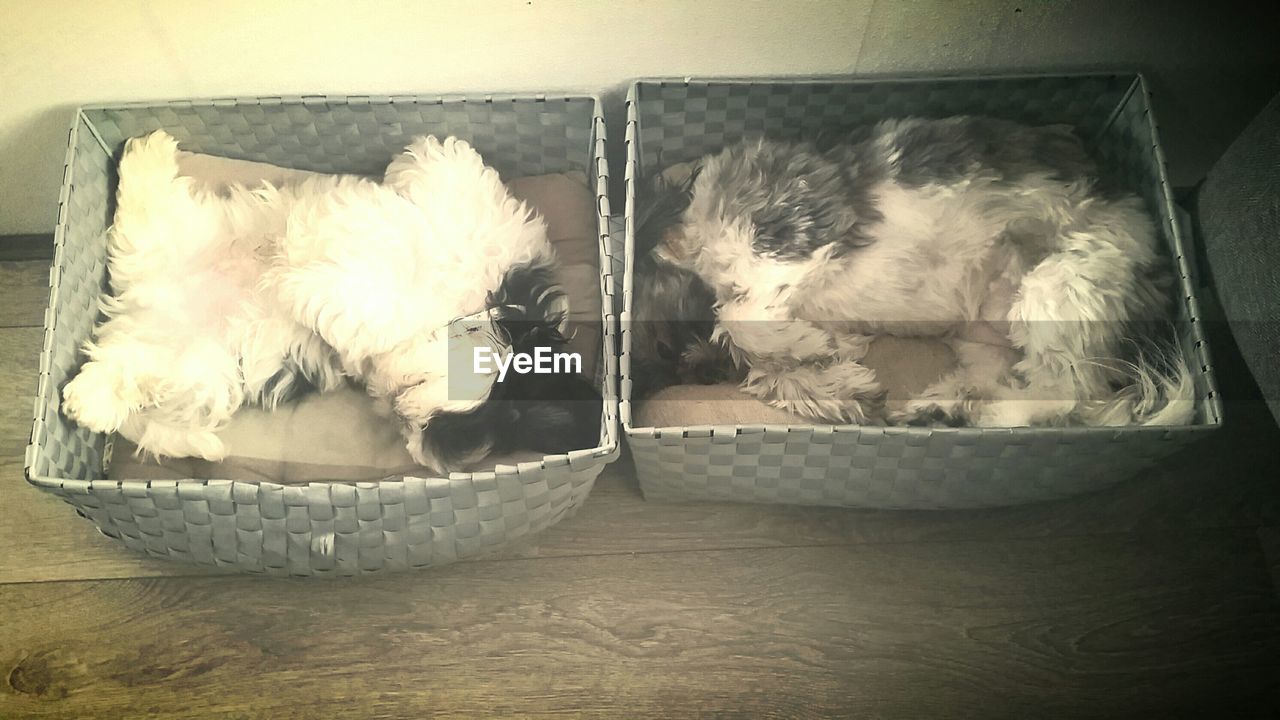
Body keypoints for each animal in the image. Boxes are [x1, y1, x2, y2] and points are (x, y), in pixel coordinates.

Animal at [61, 131, 599, 468]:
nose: (403, 423)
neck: (467, 309)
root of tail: (142, 299)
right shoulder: (484, 229)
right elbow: (444, 162)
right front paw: (406, 163)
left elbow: (364, 304)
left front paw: (298, 281)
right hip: (176, 247)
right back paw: (147, 150)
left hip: (196, 363)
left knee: (132, 375)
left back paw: (89, 401)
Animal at [634, 114, 1192, 422]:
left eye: (663, 344)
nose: (706, 374)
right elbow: (779, 368)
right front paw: (837, 378)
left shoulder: (789, 215)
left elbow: (740, 316)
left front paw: (804, 346)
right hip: (983, 342)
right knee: (1025, 391)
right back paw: (946, 411)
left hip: (1064, 284)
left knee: (1069, 393)